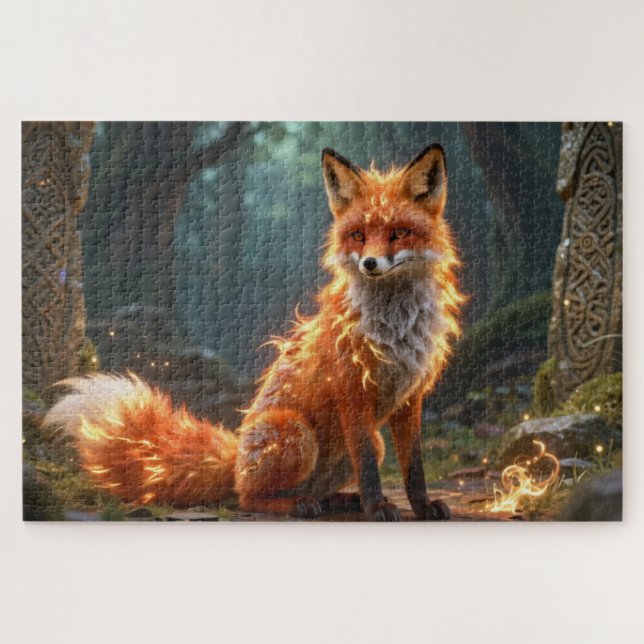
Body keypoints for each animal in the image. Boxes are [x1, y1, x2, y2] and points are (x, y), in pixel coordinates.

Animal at [44, 145, 464, 521]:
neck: (394, 327)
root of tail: (234, 461)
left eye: (399, 233)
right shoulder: (352, 391)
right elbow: (370, 471)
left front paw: (422, 507)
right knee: (248, 497)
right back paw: (298, 506)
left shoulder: (411, 395)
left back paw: (338, 500)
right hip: (296, 433)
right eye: (358, 235)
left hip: (366, 444)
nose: (370, 264)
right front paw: (377, 508)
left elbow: (413, 467)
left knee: (310, 488)